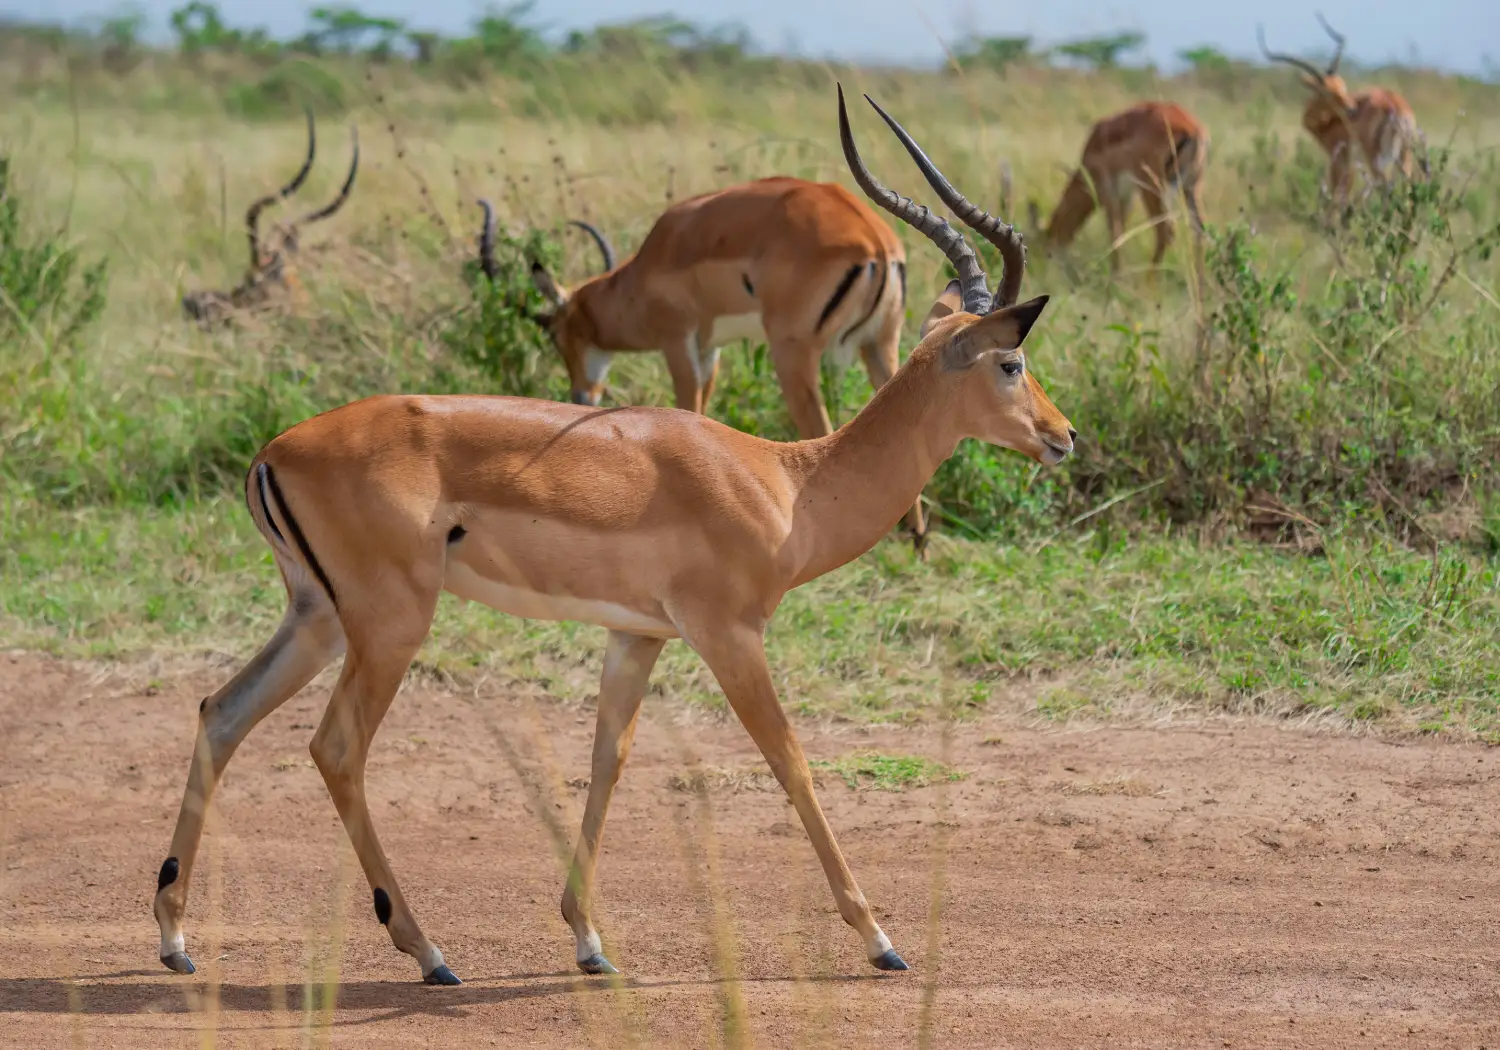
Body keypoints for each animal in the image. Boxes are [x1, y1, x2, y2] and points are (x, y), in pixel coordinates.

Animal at [497, 169, 927, 545]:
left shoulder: (678, 341)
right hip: (881, 346)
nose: (581, 395)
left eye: (553, 332)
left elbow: (685, 407)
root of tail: (874, 239)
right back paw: (916, 540)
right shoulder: (709, 348)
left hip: (793, 352)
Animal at [1026, 102, 1208, 273]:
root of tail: (1193, 129)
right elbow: (1122, 230)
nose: (1040, 270)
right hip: (1190, 189)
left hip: (1152, 189)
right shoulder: (1127, 196)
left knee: (1165, 232)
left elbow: (1116, 234)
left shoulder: (1108, 192)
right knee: (1199, 232)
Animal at [1258, 15, 1419, 203]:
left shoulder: (1341, 161)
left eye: (1341, 86)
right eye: (1331, 89)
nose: (1352, 110)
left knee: (1385, 187)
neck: (1327, 122)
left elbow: (1338, 197)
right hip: (1404, 155)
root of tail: (1395, 104)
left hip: (1376, 158)